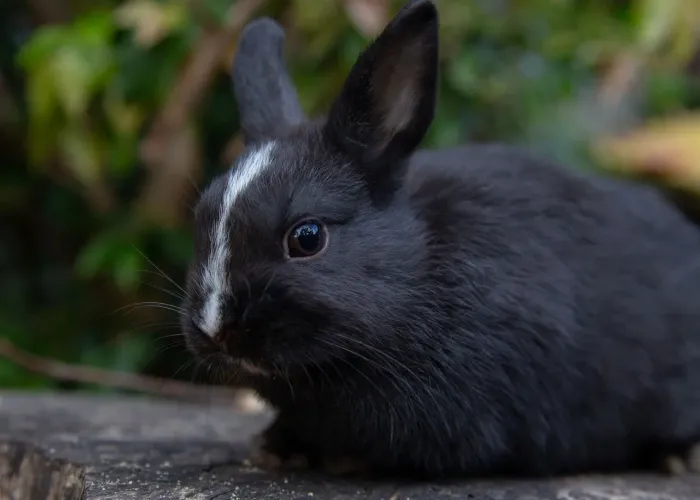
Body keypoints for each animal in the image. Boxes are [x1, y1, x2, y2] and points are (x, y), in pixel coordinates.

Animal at [181, 0, 700, 480]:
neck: (418, 275)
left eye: (307, 237)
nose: (216, 329)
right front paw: (276, 447)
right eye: (202, 218)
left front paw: (339, 458)